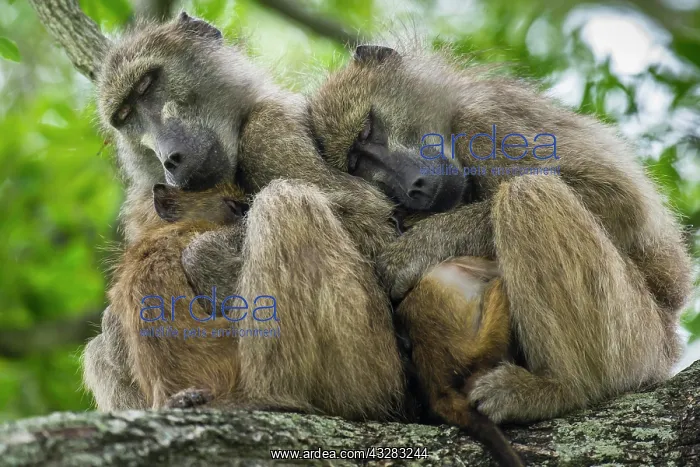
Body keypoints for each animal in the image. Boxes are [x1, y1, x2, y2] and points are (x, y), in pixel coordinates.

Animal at [82, 13, 410, 421]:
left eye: (147, 85)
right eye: (125, 115)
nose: (170, 158)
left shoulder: (268, 129)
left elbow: (375, 230)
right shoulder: (145, 197)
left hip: (371, 366)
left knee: (285, 203)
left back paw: (271, 397)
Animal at [308, 43, 694, 423]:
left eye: (368, 130)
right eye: (358, 165)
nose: (411, 187)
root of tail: (669, 344)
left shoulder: (488, 121)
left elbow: (618, 198)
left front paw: (415, 249)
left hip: (636, 339)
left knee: (528, 193)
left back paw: (562, 388)